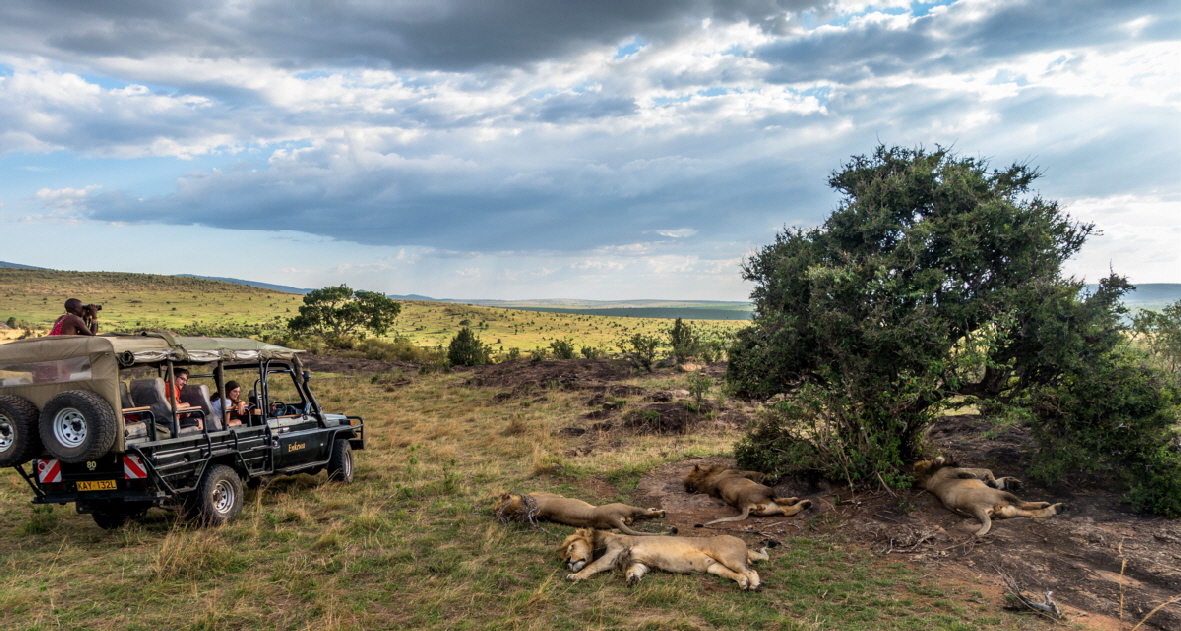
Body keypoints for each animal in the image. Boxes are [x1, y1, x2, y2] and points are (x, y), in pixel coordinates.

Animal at [557, 527, 770, 590]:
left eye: (571, 547)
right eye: (564, 555)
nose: (567, 561)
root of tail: (744, 543)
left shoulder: (614, 552)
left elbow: (592, 566)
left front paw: (575, 576)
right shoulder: (639, 563)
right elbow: (633, 571)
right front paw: (631, 579)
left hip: (727, 557)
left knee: (751, 571)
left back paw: (754, 585)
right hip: (715, 567)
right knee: (739, 574)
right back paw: (743, 584)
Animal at [684, 465, 812, 529]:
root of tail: (744, 505)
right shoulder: (747, 473)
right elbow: (756, 473)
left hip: (771, 507)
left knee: (787, 511)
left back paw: (806, 503)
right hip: (765, 489)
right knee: (779, 499)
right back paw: (796, 499)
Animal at [907, 458, 1067, 536]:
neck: (929, 477)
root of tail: (974, 508)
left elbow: (994, 479)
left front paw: (1011, 481)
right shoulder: (956, 470)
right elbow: (987, 470)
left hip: (1008, 509)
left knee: (1029, 511)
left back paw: (1057, 508)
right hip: (1001, 496)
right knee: (1024, 504)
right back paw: (1047, 504)